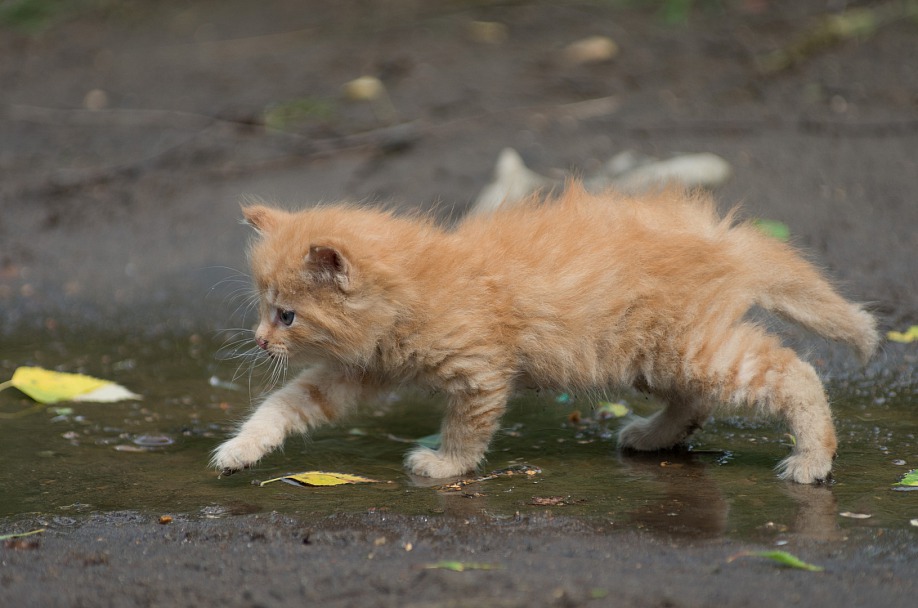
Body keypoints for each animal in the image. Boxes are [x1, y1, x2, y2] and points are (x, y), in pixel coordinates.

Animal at [212, 183, 880, 482]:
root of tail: (723, 236)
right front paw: (242, 449)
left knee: (795, 370)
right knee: (696, 400)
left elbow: (468, 426)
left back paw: (812, 459)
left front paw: (444, 465)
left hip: (687, 348)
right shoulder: (356, 369)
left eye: (287, 314)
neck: (418, 285)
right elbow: (285, 404)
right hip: (657, 356)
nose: (261, 341)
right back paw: (653, 437)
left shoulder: (481, 369)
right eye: (265, 309)